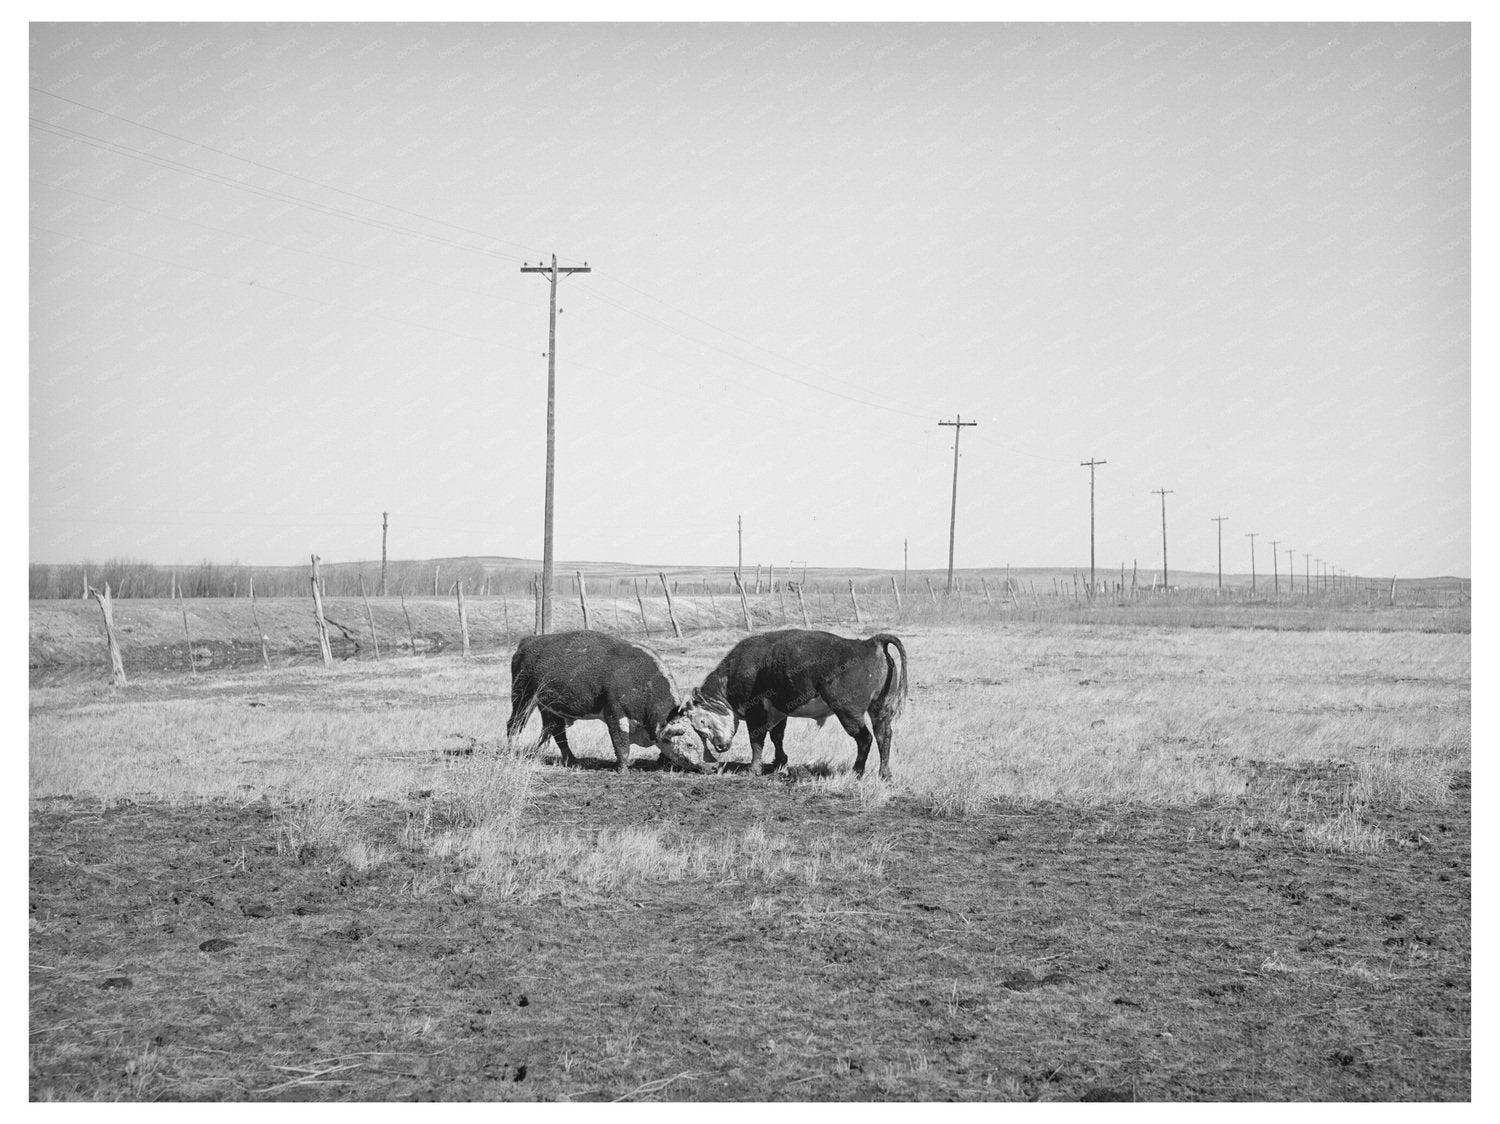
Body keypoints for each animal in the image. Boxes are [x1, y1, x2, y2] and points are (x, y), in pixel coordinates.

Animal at [505, 631, 703, 774]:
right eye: (690, 744)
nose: (706, 766)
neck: (641, 680)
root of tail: (527, 642)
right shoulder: (615, 715)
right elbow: (621, 745)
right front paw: (623, 770)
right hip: (523, 698)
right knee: (514, 725)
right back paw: (511, 752)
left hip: (548, 708)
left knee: (557, 731)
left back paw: (572, 760)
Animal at [686, 629, 909, 779]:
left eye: (702, 721)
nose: (719, 747)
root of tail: (870, 643)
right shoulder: (779, 711)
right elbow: (777, 737)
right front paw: (778, 763)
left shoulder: (755, 711)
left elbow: (757, 739)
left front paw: (753, 769)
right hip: (880, 709)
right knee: (883, 736)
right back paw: (884, 774)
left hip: (847, 712)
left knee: (865, 739)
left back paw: (856, 772)